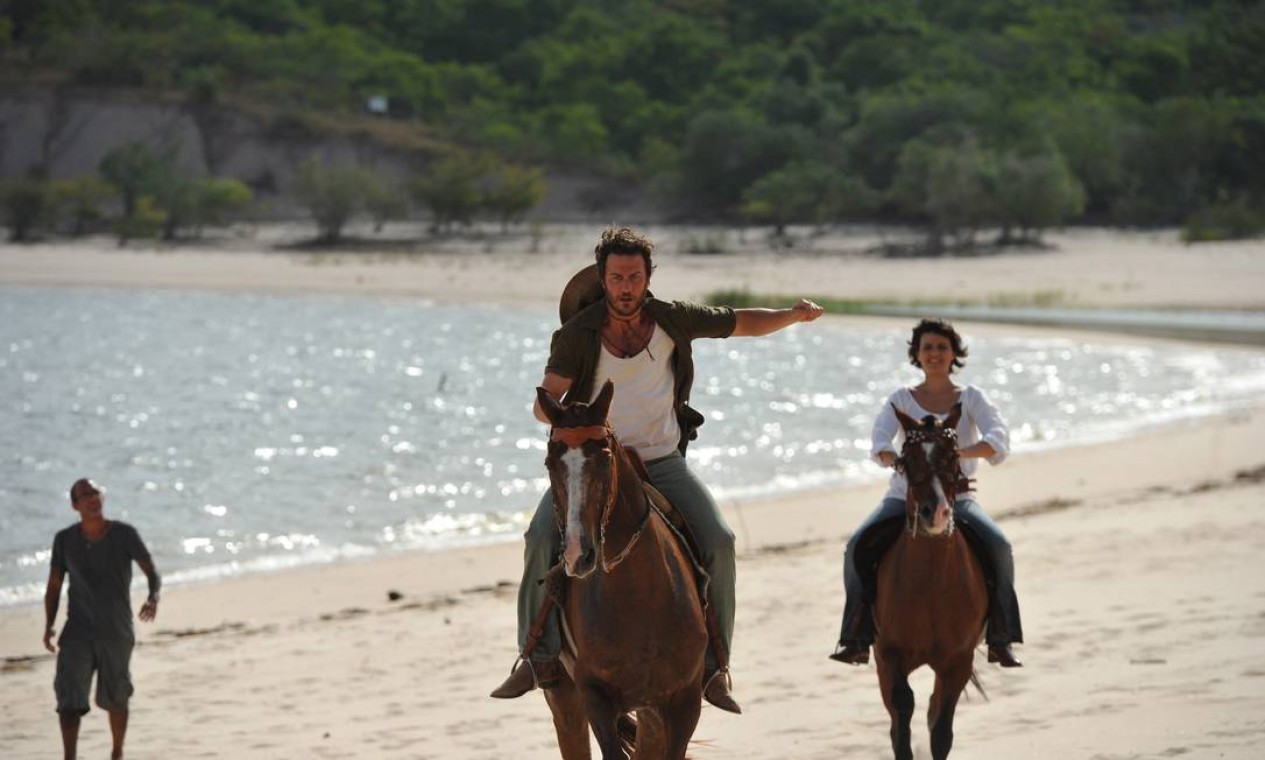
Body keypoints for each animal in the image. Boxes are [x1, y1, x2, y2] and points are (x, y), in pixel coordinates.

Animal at [536, 381, 708, 753]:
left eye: (604, 458)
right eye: (549, 462)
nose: (577, 554)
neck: (637, 593)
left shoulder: (684, 703)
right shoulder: (594, 696)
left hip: (651, 713)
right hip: (565, 699)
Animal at [875, 402, 991, 758]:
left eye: (952, 456)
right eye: (907, 459)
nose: (935, 512)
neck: (931, 583)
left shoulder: (958, 662)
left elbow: (940, 729)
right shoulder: (888, 656)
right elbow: (902, 715)